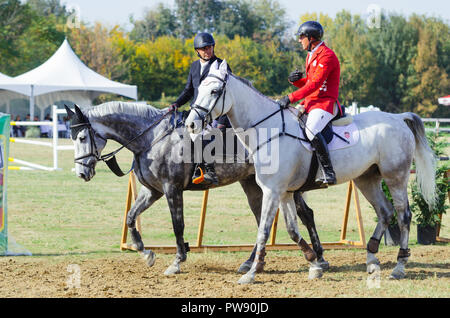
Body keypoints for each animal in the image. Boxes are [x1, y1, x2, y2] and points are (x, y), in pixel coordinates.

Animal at [66, 102, 326, 276]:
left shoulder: (171, 189)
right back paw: (252, 263)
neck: (152, 138)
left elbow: (177, 225)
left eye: (81, 137)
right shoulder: (152, 191)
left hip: (283, 185)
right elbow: (130, 217)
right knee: (263, 219)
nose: (81, 173)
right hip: (253, 185)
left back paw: (320, 258)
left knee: (305, 214)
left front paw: (177, 261)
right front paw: (146, 254)